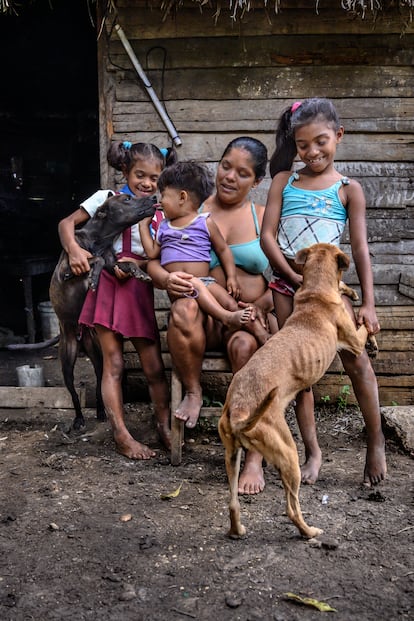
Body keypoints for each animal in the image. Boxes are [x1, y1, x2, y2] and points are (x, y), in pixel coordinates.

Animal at [218, 242, 376, 536]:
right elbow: (362, 327)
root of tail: (238, 414)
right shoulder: (352, 340)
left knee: (232, 503)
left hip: (231, 456)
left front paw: (349, 291)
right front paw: (368, 325)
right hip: (289, 455)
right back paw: (309, 532)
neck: (316, 291)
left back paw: (238, 530)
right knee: (291, 508)